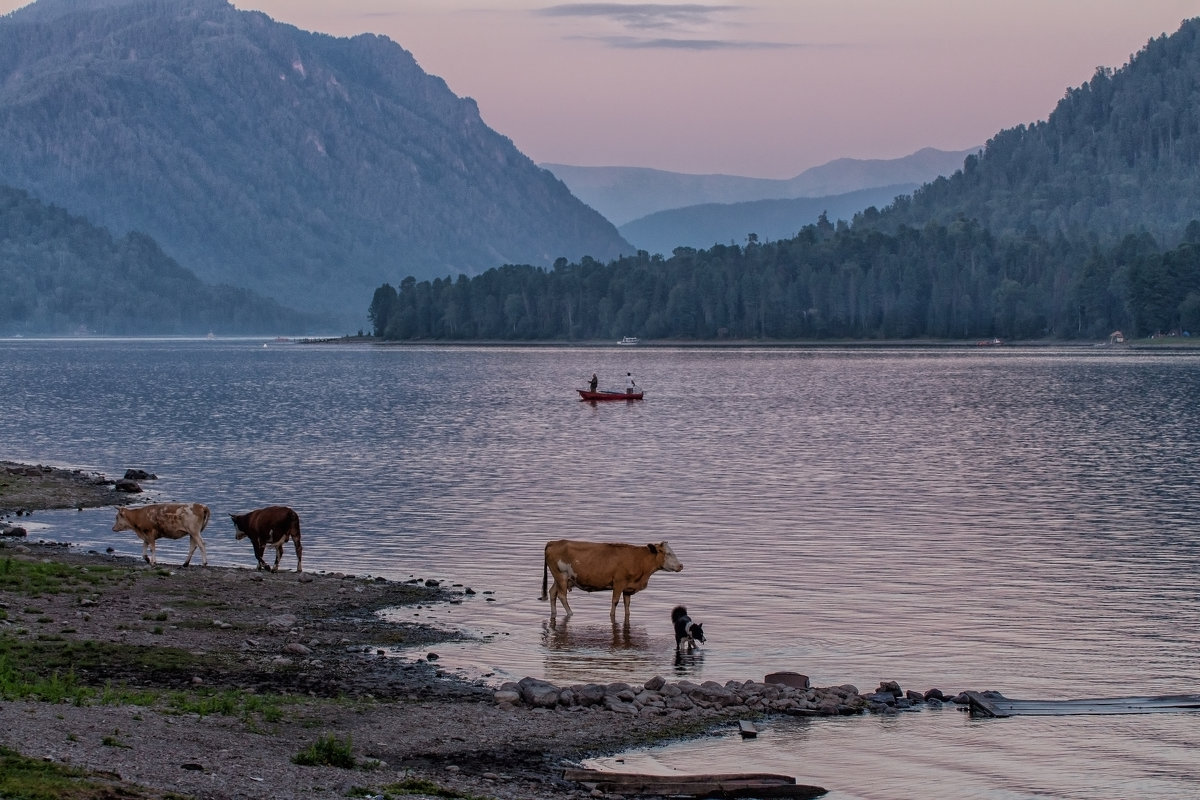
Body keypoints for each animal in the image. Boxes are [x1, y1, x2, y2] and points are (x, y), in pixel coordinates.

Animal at [544, 542, 686, 623]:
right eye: (668, 553)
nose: (681, 565)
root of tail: (554, 542)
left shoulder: (628, 587)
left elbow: (627, 605)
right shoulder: (619, 582)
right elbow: (615, 602)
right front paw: (612, 615)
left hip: (560, 579)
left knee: (552, 593)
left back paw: (554, 612)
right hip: (561, 576)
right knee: (562, 596)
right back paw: (570, 613)